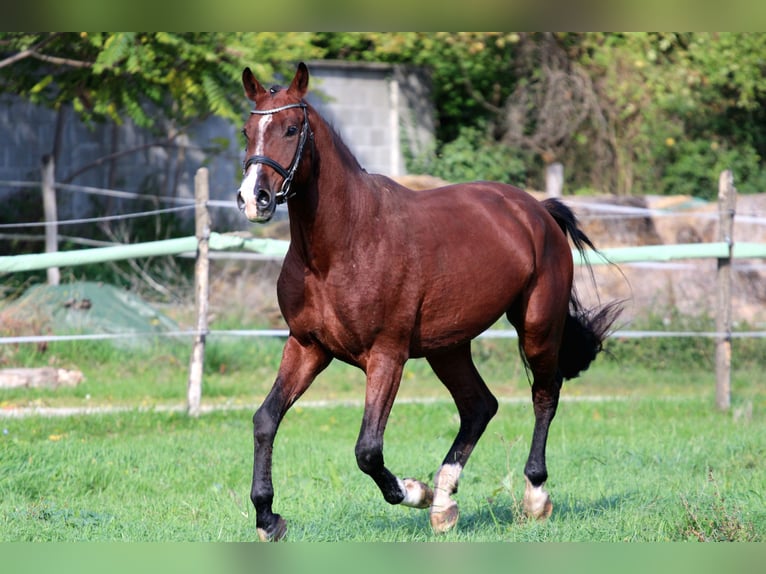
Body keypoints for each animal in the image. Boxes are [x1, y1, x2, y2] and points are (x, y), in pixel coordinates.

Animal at [236, 64, 624, 544]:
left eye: (291, 129)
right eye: (247, 130)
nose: (253, 199)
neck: (343, 244)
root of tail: (537, 209)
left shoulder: (387, 355)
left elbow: (368, 449)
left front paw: (413, 491)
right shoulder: (307, 346)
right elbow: (266, 419)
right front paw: (268, 518)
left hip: (537, 327)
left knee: (544, 395)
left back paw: (533, 497)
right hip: (449, 347)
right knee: (480, 406)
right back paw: (445, 504)